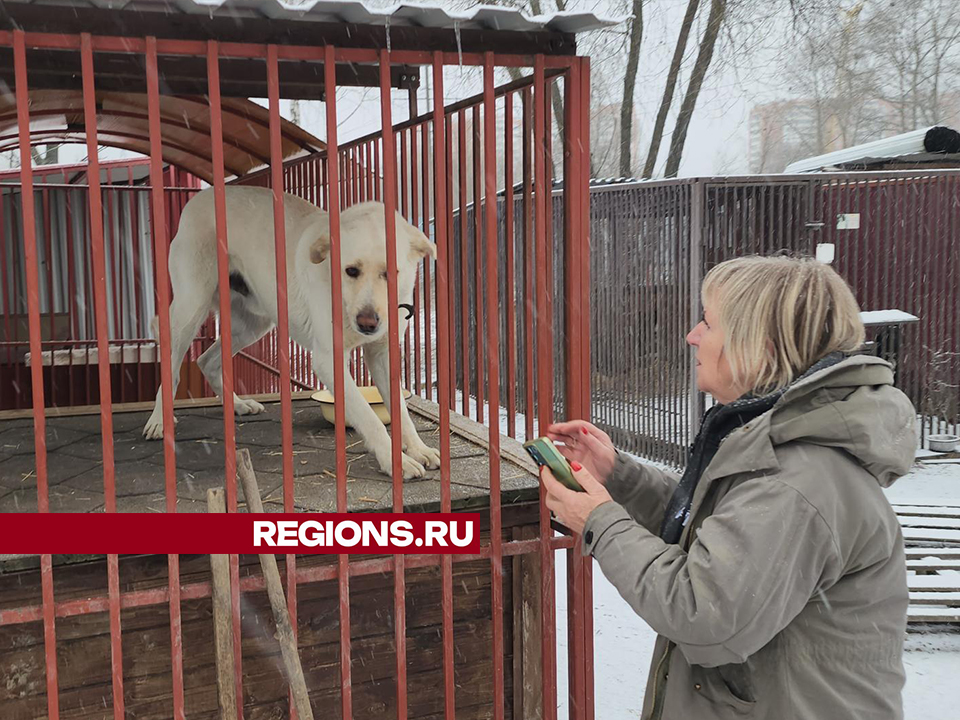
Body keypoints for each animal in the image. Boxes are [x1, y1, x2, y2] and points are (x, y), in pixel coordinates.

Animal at [141, 186, 440, 478]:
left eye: (391, 272)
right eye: (351, 270)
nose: (368, 323)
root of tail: (199, 197)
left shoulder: (382, 354)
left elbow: (400, 411)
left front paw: (418, 449)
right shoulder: (329, 360)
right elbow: (369, 417)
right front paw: (395, 462)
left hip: (254, 324)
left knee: (207, 361)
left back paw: (238, 405)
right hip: (190, 309)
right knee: (172, 368)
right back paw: (158, 422)